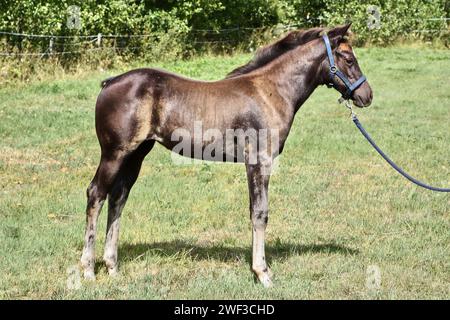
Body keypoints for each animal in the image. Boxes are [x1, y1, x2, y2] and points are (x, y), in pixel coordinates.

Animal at [81, 23, 372, 286]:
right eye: (349, 59)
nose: (366, 95)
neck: (270, 91)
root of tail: (109, 82)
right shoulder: (259, 161)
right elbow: (260, 213)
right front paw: (262, 273)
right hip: (114, 154)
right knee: (96, 194)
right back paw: (88, 270)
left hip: (136, 155)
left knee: (118, 198)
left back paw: (112, 267)